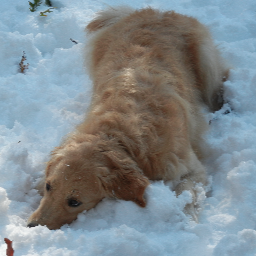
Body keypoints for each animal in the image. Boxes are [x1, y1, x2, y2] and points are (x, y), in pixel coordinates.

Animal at [27, 7, 228, 229]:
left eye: (74, 202)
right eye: (49, 186)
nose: (32, 226)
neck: (120, 137)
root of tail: (153, 11)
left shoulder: (191, 168)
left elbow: (187, 192)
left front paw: (187, 220)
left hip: (206, 62)